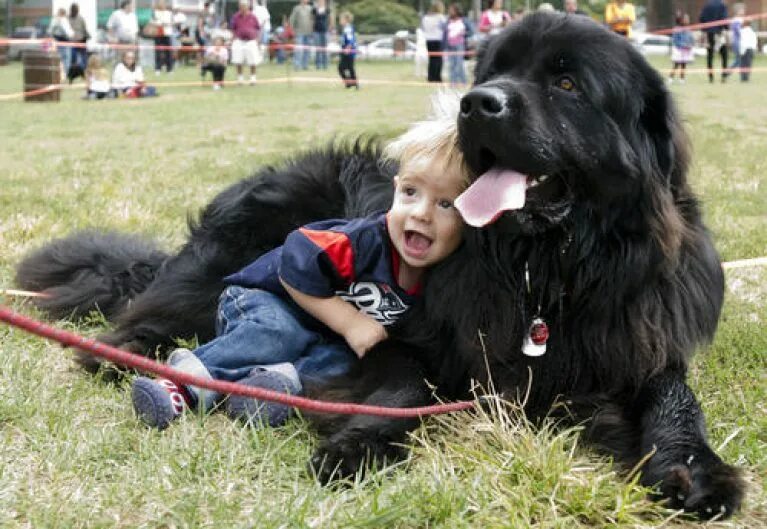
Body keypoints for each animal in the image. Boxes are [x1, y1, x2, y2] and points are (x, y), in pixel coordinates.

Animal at [16, 13, 744, 520]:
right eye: (492, 69)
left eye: (566, 83)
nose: (477, 101)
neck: (542, 271)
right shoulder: (410, 338)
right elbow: (404, 384)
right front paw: (356, 446)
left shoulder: (634, 342)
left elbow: (674, 396)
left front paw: (696, 470)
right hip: (225, 261)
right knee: (152, 316)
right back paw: (137, 359)